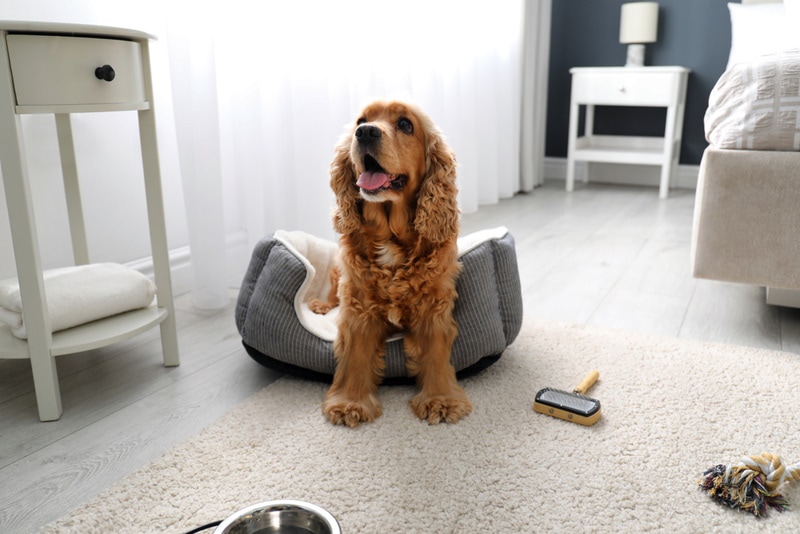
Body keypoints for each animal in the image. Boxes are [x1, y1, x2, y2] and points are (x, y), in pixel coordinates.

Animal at [312, 99, 472, 428]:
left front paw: (441, 400)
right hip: (337, 273)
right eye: (361, 121)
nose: (365, 133)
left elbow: (436, 351)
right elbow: (356, 354)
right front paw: (350, 402)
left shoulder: (434, 305)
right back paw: (321, 305)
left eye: (405, 125)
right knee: (333, 295)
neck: (390, 237)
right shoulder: (358, 305)